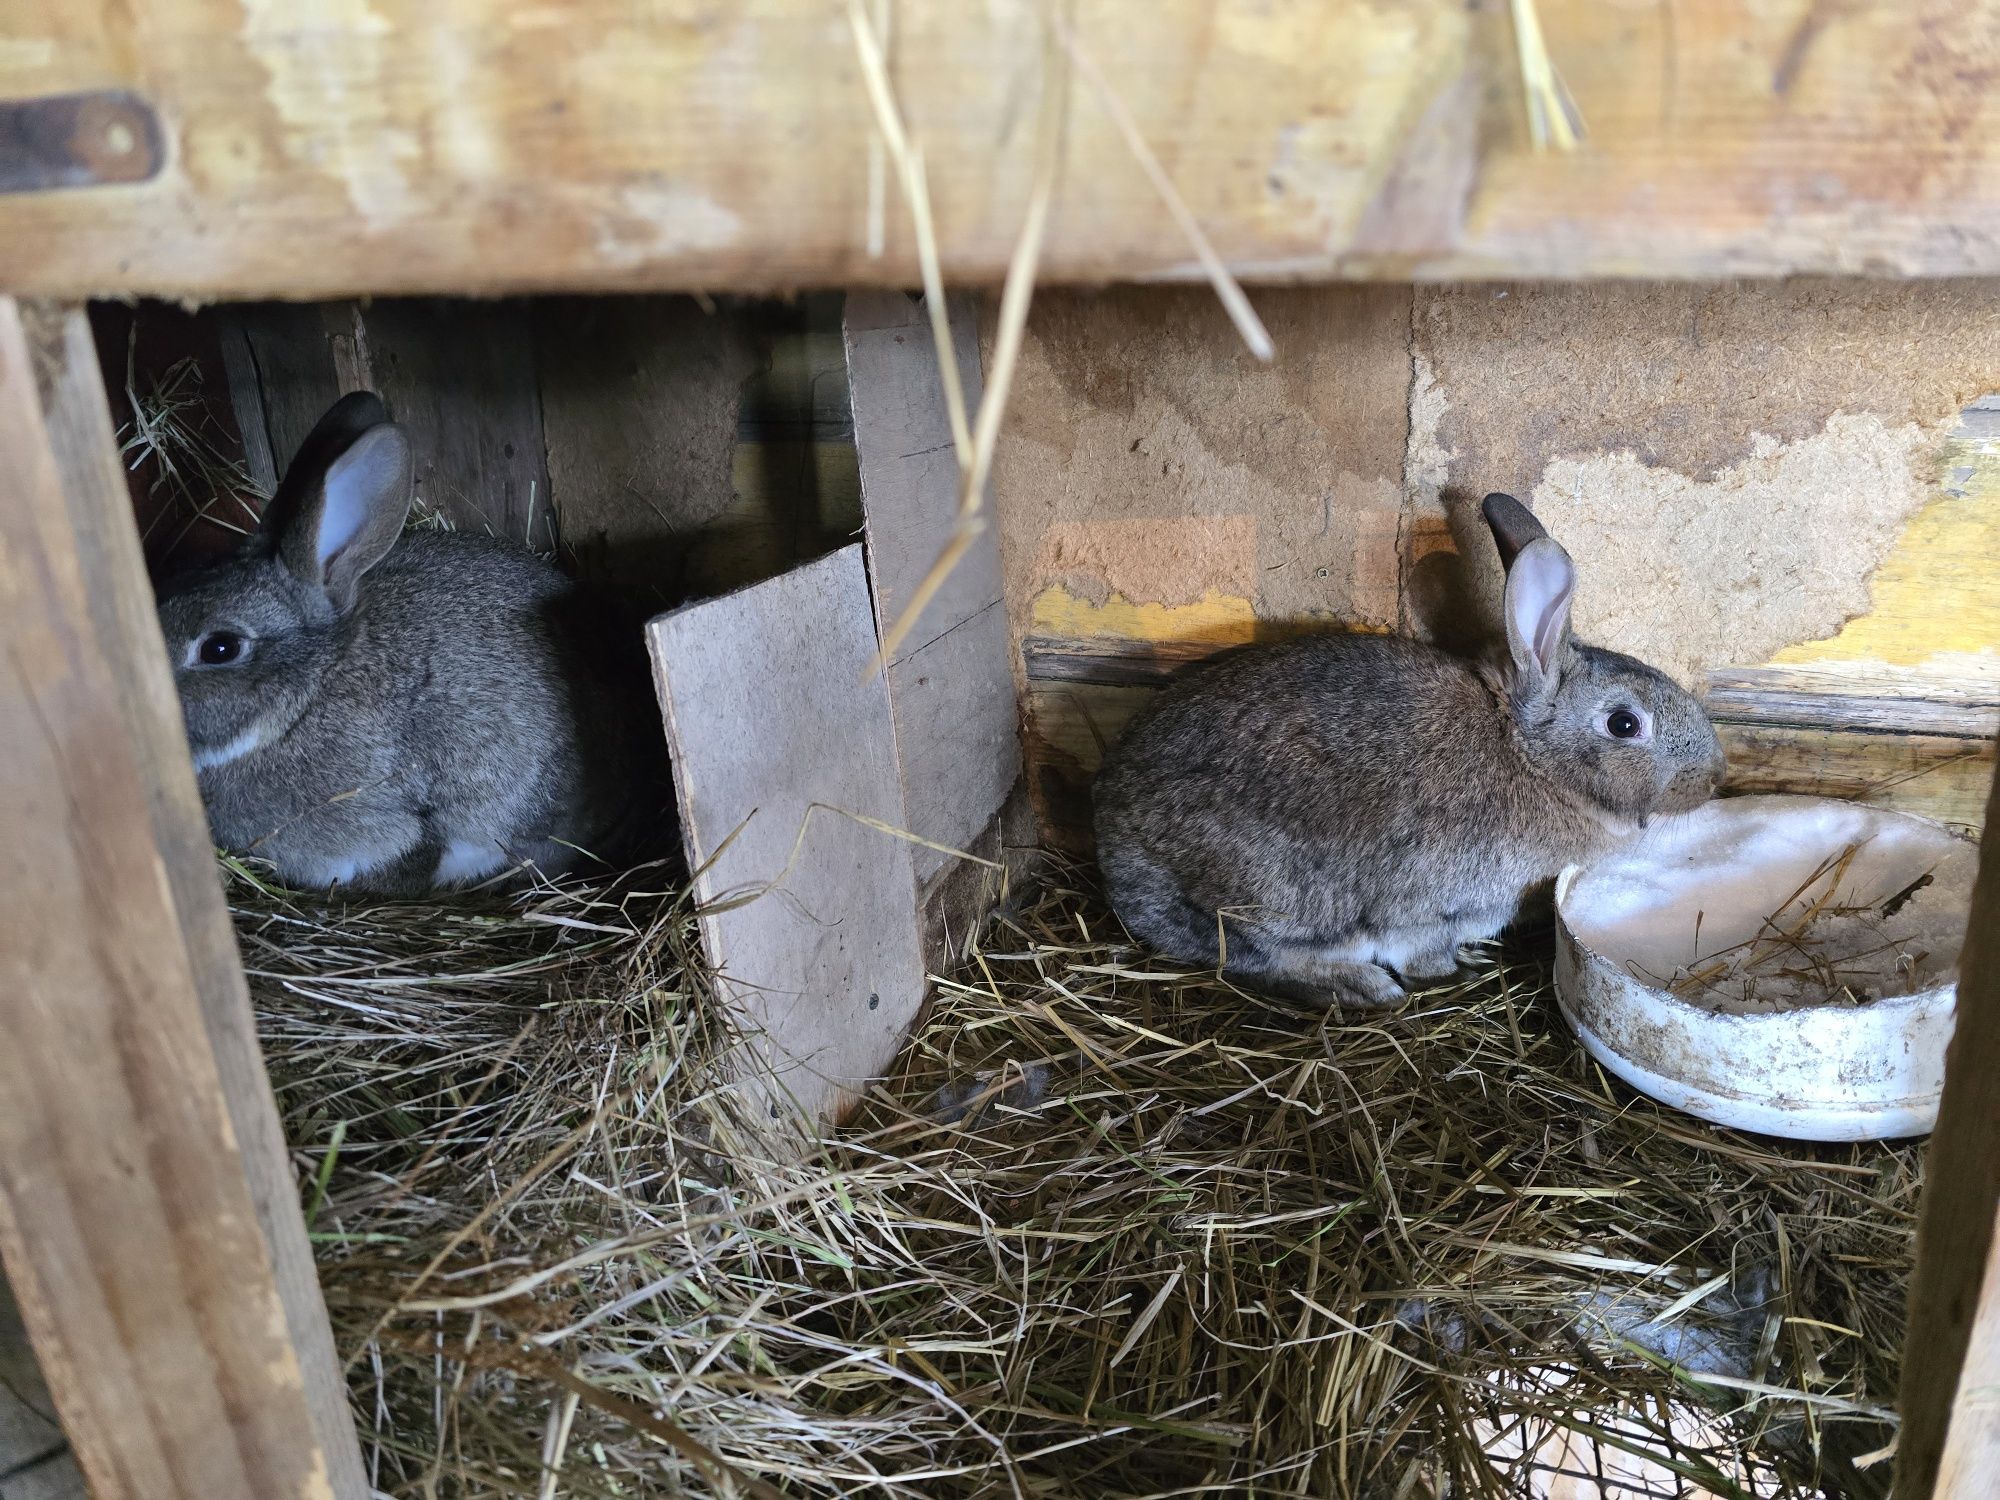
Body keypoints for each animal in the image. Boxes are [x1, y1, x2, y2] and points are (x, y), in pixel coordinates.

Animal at [1088, 496, 1728, 1012]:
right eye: (1625, 724)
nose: (1716, 777)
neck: (1529, 756)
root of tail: (1112, 844)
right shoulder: (1431, 909)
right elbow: (1420, 948)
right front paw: (1452, 968)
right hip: (1273, 898)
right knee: (1255, 957)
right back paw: (1357, 986)